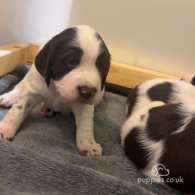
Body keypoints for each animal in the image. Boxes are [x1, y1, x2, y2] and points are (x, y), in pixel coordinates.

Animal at [0, 25, 110, 156]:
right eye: (70, 61)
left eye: (102, 67)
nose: (87, 91)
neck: (58, 90)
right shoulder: (32, 91)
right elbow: (18, 109)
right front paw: (5, 127)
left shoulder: (84, 105)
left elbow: (86, 123)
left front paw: (88, 144)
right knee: (20, 86)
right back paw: (8, 97)